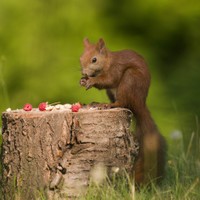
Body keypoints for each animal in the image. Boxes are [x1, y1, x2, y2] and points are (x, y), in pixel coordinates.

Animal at [79, 38, 166, 186]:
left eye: (94, 60)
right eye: (80, 58)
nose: (84, 73)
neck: (107, 62)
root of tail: (139, 103)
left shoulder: (116, 69)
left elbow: (109, 80)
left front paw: (91, 81)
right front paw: (83, 80)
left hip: (129, 81)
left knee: (122, 103)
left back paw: (108, 105)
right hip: (113, 92)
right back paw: (97, 103)